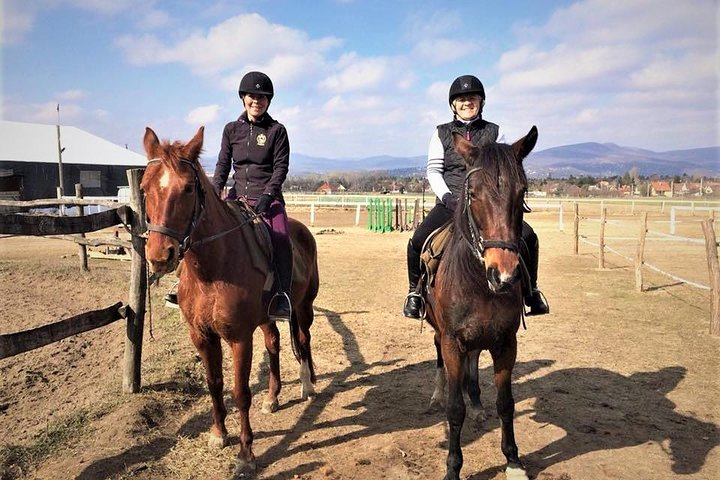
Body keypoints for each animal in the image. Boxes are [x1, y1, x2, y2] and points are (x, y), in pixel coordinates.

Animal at [140, 126, 319, 476]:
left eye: (187, 189)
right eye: (143, 188)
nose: (160, 256)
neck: (211, 270)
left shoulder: (239, 338)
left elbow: (240, 392)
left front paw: (246, 454)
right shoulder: (202, 336)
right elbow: (214, 383)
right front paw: (219, 434)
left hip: (303, 308)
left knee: (303, 339)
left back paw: (307, 386)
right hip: (267, 317)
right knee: (274, 343)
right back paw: (273, 397)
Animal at [423, 126, 538, 480]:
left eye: (522, 191)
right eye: (472, 193)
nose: (503, 274)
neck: (478, 282)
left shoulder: (506, 343)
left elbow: (506, 403)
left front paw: (513, 461)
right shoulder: (451, 340)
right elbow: (453, 408)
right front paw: (453, 467)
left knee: (473, 363)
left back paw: (475, 403)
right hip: (440, 332)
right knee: (440, 358)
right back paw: (438, 392)